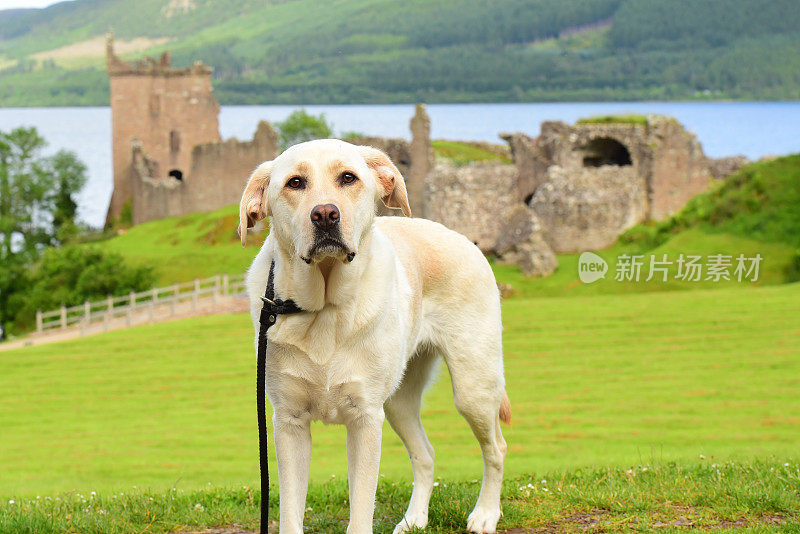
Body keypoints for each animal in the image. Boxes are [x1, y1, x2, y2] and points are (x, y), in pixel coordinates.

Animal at [239, 140, 512, 532]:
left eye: (348, 178)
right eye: (295, 183)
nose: (325, 214)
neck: (325, 307)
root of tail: (463, 238)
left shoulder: (366, 419)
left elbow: (360, 510)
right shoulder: (289, 423)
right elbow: (290, 513)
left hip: (473, 388)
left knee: (496, 449)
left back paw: (486, 514)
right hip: (398, 401)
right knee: (426, 454)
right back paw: (414, 519)